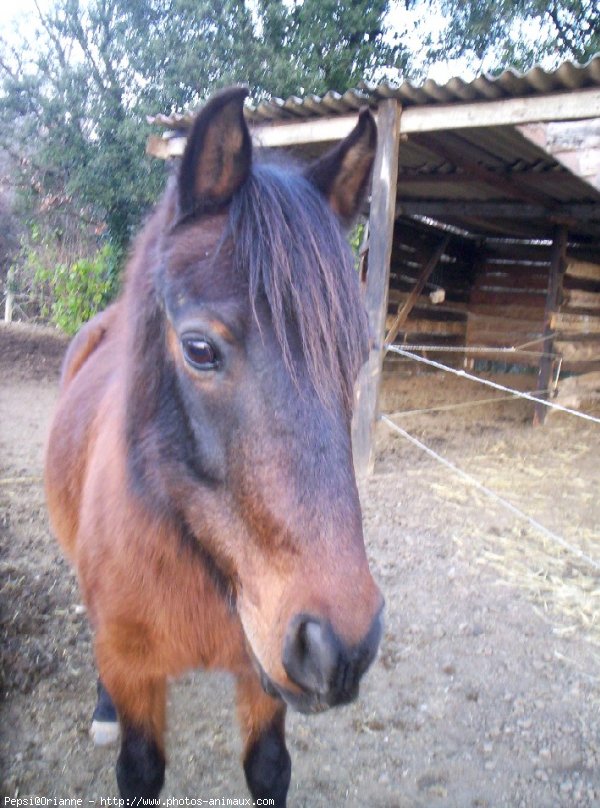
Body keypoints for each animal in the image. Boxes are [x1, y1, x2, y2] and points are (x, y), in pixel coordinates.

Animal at [47, 85, 384, 804]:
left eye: (359, 354)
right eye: (199, 349)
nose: (340, 648)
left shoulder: (263, 672)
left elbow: (269, 768)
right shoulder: (135, 669)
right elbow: (140, 770)